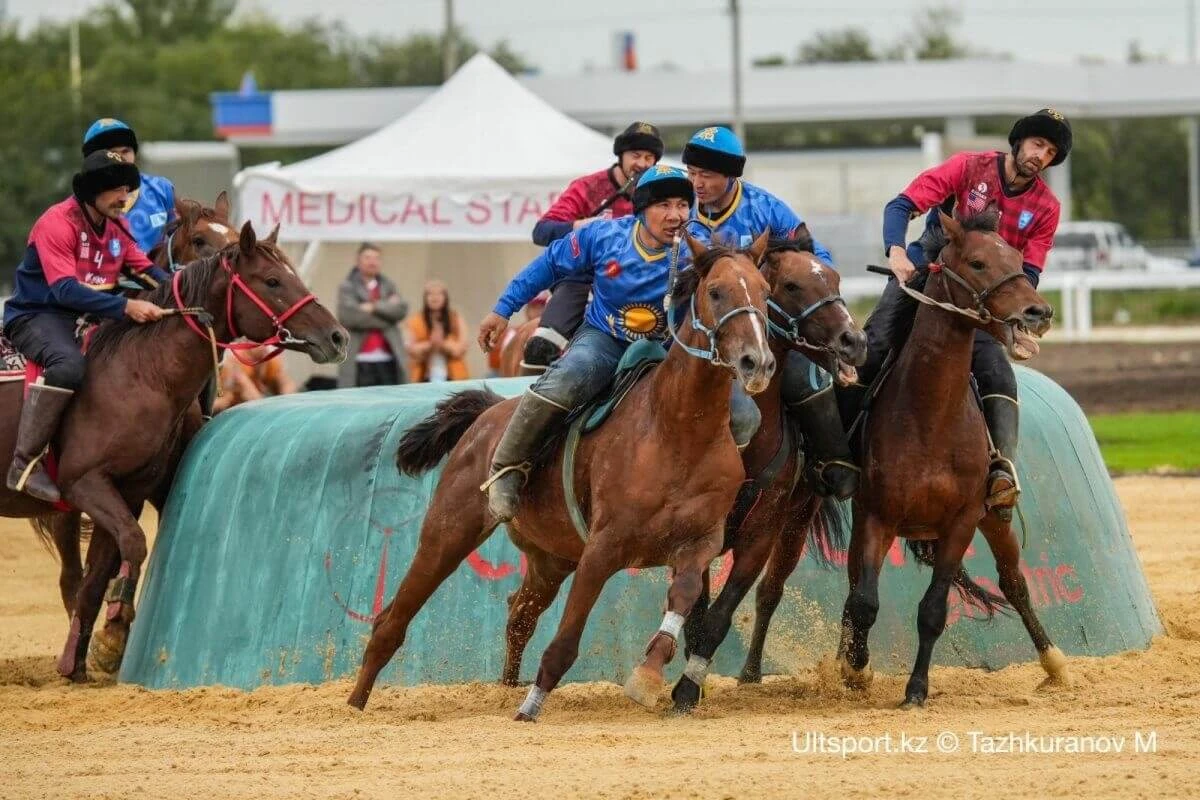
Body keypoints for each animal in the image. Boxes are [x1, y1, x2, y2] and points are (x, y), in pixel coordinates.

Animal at [0, 220, 350, 681]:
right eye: (273, 280)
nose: (338, 336)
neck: (140, 372)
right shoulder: (85, 483)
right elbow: (131, 546)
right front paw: (112, 636)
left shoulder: (127, 492)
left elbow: (105, 569)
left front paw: (88, 656)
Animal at [348, 235, 777, 714]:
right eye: (717, 292)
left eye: (765, 291)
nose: (757, 362)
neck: (678, 429)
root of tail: (487, 413)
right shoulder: (602, 548)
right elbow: (566, 639)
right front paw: (530, 707)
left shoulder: (698, 542)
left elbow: (683, 598)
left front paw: (648, 676)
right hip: (447, 532)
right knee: (392, 620)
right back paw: (355, 705)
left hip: (550, 558)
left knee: (519, 613)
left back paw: (506, 683)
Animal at [830, 211, 1065, 705]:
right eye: (977, 262)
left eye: (1019, 259)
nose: (1039, 312)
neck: (931, 414)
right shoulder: (877, 517)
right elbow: (865, 602)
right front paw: (855, 667)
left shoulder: (962, 520)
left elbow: (934, 610)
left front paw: (916, 689)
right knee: (854, 588)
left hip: (994, 518)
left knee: (1014, 582)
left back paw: (1055, 662)